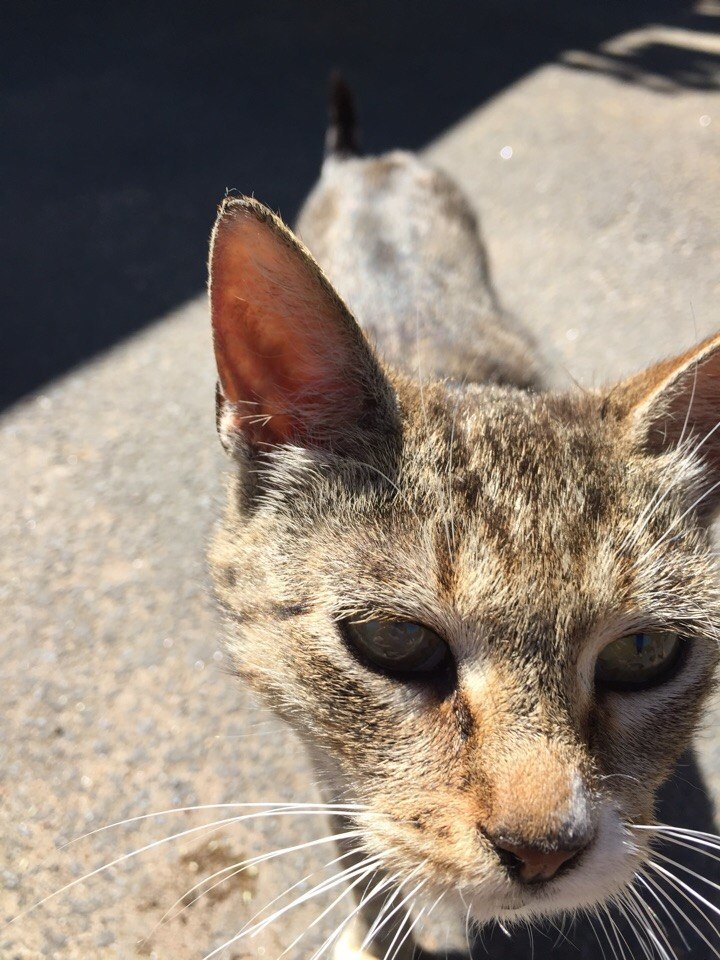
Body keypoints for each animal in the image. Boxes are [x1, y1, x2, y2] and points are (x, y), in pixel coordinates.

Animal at [205, 79, 720, 956]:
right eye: (393, 640)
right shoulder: (329, 768)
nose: (545, 849)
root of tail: (368, 159)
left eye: (644, 650)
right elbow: (368, 865)